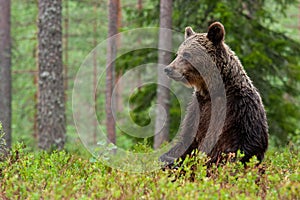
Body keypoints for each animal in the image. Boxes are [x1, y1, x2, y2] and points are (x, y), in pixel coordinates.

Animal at [161, 21, 268, 166]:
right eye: (178, 53)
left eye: (187, 54)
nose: (168, 69)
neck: (212, 89)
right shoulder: (198, 109)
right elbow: (187, 140)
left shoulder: (239, 109)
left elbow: (244, 146)